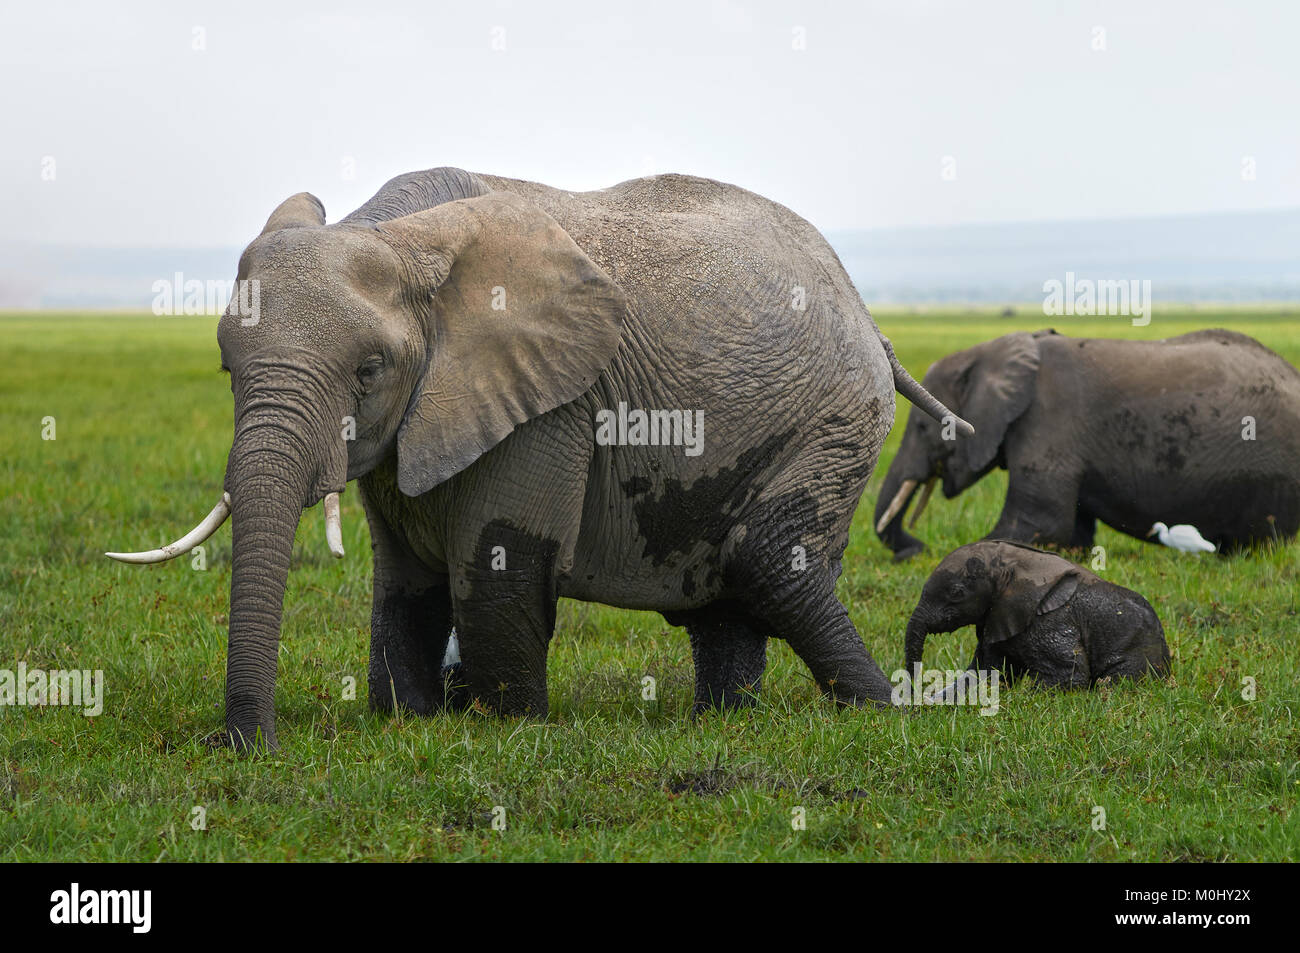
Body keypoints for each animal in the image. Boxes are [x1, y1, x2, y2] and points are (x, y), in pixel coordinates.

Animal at [106, 165, 972, 748]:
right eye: (227, 367)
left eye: (369, 371)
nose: (240, 744)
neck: (401, 237)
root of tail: (871, 321)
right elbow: (405, 581)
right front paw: (407, 718)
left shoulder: (552, 402)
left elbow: (497, 566)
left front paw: (506, 725)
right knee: (723, 595)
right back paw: (726, 721)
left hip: (835, 416)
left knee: (767, 561)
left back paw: (882, 710)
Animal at [873, 330, 1300, 561]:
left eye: (923, 428)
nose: (915, 549)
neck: (989, 352)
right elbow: (1071, 533)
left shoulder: (1050, 422)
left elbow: (1038, 523)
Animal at [904, 538, 1170, 686]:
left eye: (956, 593)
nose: (915, 698)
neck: (1012, 561)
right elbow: (987, 672)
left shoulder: (1050, 622)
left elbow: (1069, 673)